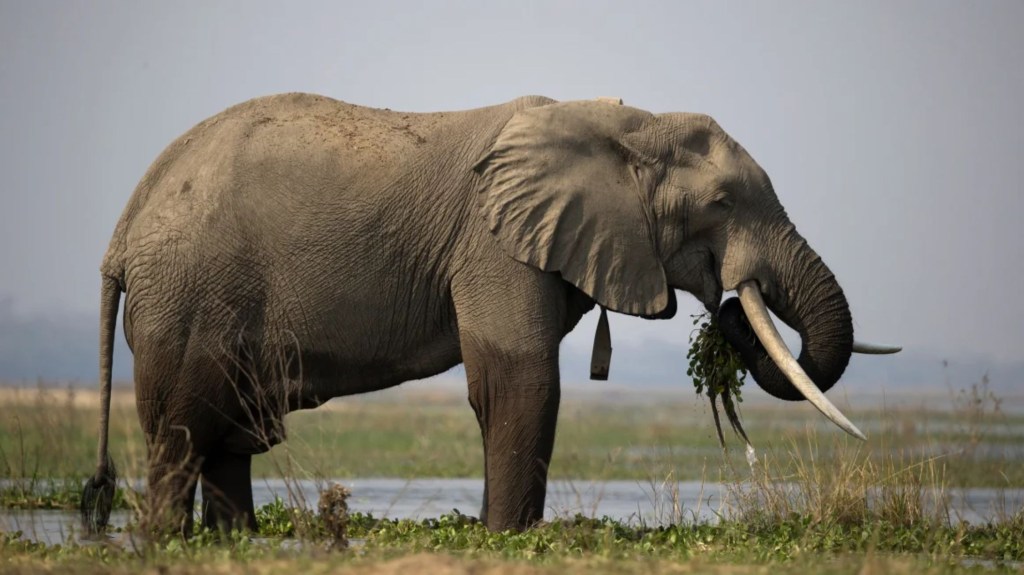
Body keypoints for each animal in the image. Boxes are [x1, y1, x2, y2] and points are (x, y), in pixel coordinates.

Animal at [79, 93, 897, 532]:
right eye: (723, 203)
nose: (728, 312)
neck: (625, 122)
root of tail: (122, 231)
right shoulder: (494, 243)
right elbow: (520, 383)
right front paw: (507, 536)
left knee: (228, 436)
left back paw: (238, 540)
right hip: (190, 297)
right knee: (185, 434)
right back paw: (166, 541)